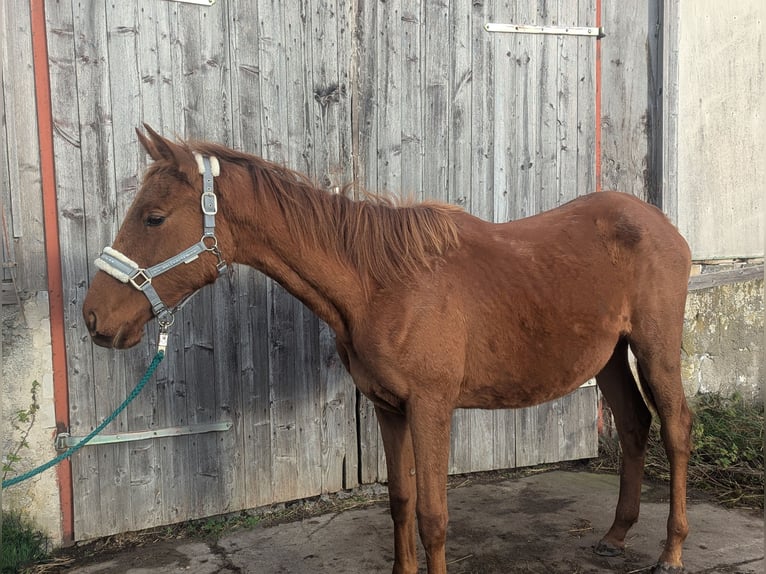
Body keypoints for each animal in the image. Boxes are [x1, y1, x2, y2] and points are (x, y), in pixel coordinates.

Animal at [82, 127, 696, 574]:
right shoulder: (387, 407)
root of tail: (660, 222)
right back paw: (615, 536)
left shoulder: (431, 408)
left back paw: (670, 552)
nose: (94, 318)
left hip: (655, 348)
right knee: (635, 426)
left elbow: (432, 515)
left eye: (154, 217)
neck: (380, 284)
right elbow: (400, 502)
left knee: (674, 428)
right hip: (610, 356)